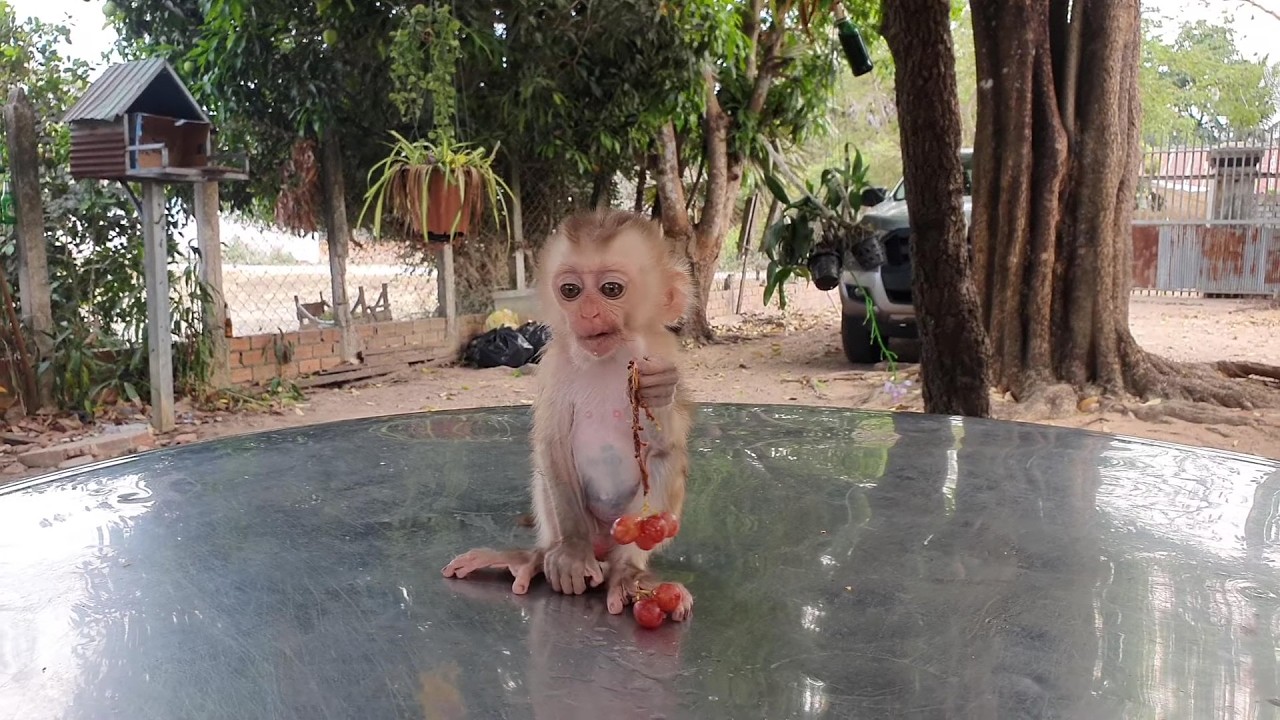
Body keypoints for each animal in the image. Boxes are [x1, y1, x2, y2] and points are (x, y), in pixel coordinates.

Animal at [443, 208, 695, 621]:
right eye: (571, 291)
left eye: (611, 289)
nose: (587, 313)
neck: (610, 357)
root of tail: (605, 545)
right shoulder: (555, 361)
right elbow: (552, 444)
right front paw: (572, 555)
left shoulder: (661, 352)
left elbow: (667, 443)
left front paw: (659, 391)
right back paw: (538, 557)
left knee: (664, 462)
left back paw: (627, 573)